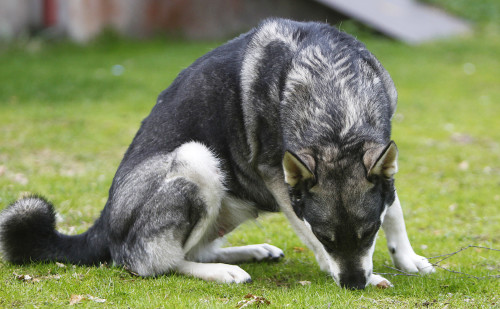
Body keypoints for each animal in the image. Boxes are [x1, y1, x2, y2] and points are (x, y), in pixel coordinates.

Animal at [0, 18, 434, 288]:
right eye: (324, 236)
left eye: (369, 233)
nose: (354, 284)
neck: (335, 114)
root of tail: (104, 224)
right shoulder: (279, 178)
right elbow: (308, 230)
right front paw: (352, 272)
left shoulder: (380, 159)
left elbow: (394, 208)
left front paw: (407, 258)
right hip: (198, 159)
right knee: (150, 261)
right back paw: (222, 273)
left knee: (199, 249)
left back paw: (249, 253)